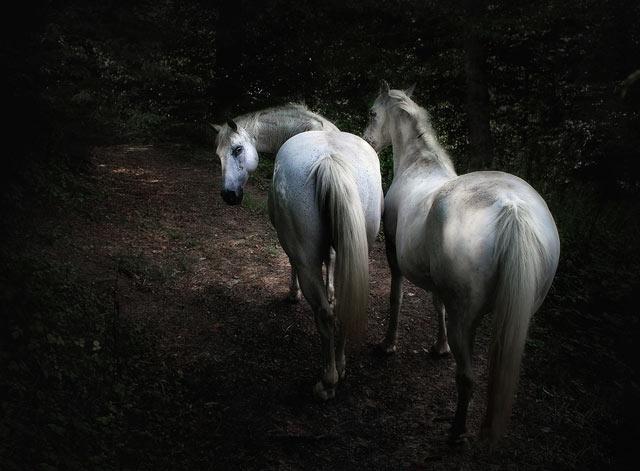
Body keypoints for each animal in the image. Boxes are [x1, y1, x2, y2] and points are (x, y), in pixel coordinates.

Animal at [362, 81, 560, 443]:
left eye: (372, 112)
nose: (367, 140)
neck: (419, 166)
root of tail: (513, 208)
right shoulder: (438, 283)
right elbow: (436, 304)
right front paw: (439, 347)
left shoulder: (394, 254)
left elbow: (396, 298)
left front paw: (388, 344)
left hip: (465, 317)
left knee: (466, 377)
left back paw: (456, 431)